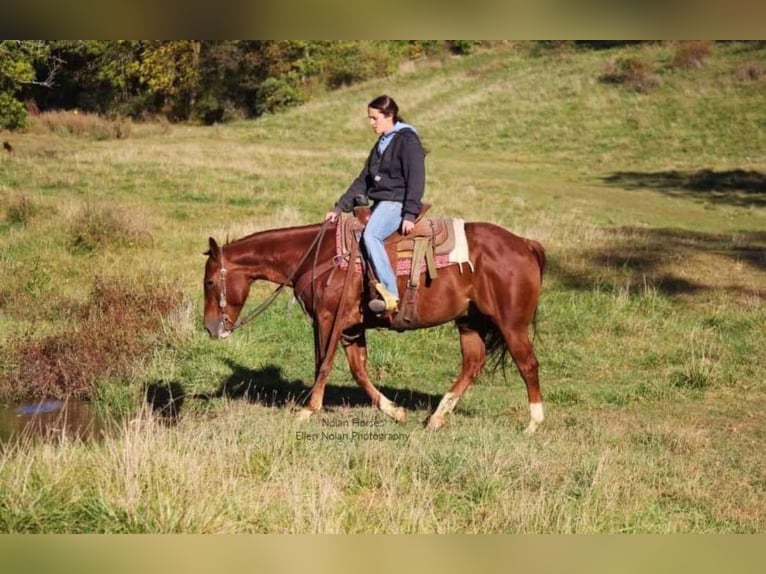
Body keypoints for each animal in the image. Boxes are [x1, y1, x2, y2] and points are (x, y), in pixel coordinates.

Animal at [201, 218, 548, 434]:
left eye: (209, 282)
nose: (209, 328)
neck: (316, 256)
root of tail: (524, 244)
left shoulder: (328, 319)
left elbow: (323, 364)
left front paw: (308, 410)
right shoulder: (352, 327)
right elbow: (359, 370)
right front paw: (395, 411)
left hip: (511, 324)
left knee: (528, 364)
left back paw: (533, 424)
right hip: (469, 322)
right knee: (473, 363)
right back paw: (435, 419)